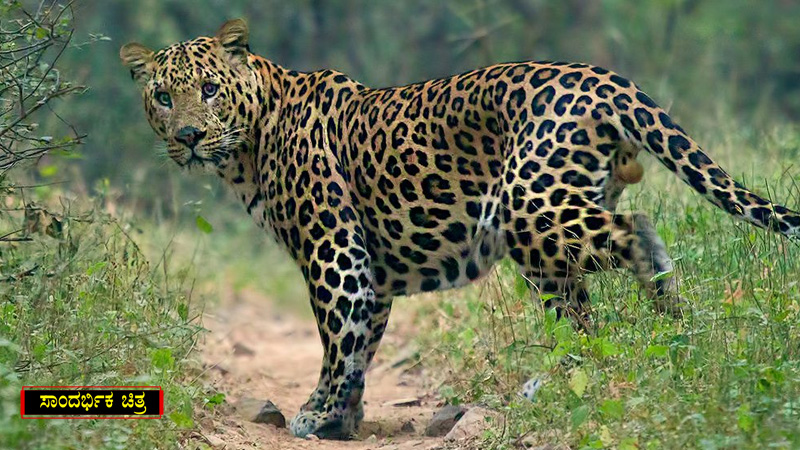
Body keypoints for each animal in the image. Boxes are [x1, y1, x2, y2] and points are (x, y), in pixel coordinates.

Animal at [120, 18, 800, 440]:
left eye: (210, 90)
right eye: (163, 97)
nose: (187, 137)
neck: (249, 145)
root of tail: (607, 77)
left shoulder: (334, 250)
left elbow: (338, 339)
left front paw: (317, 414)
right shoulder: (373, 272)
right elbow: (362, 342)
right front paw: (344, 420)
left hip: (532, 207)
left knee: (637, 231)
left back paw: (669, 323)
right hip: (548, 237)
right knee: (580, 310)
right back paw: (581, 374)